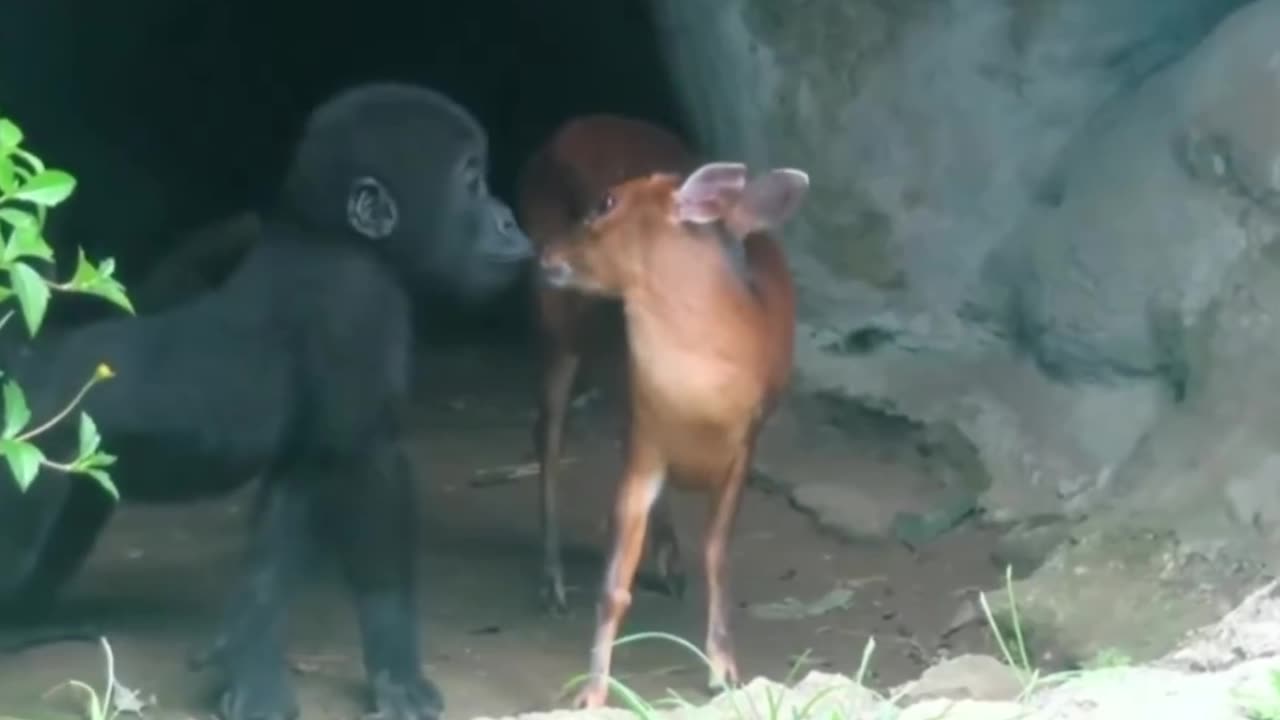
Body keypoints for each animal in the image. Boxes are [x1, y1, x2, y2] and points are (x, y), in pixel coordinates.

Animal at [0, 82, 529, 717]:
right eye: (472, 183)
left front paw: (245, 660)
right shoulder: (360, 304)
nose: (507, 219)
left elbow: (297, 497)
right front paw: (395, 668)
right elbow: (362, 470)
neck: (324, 237)